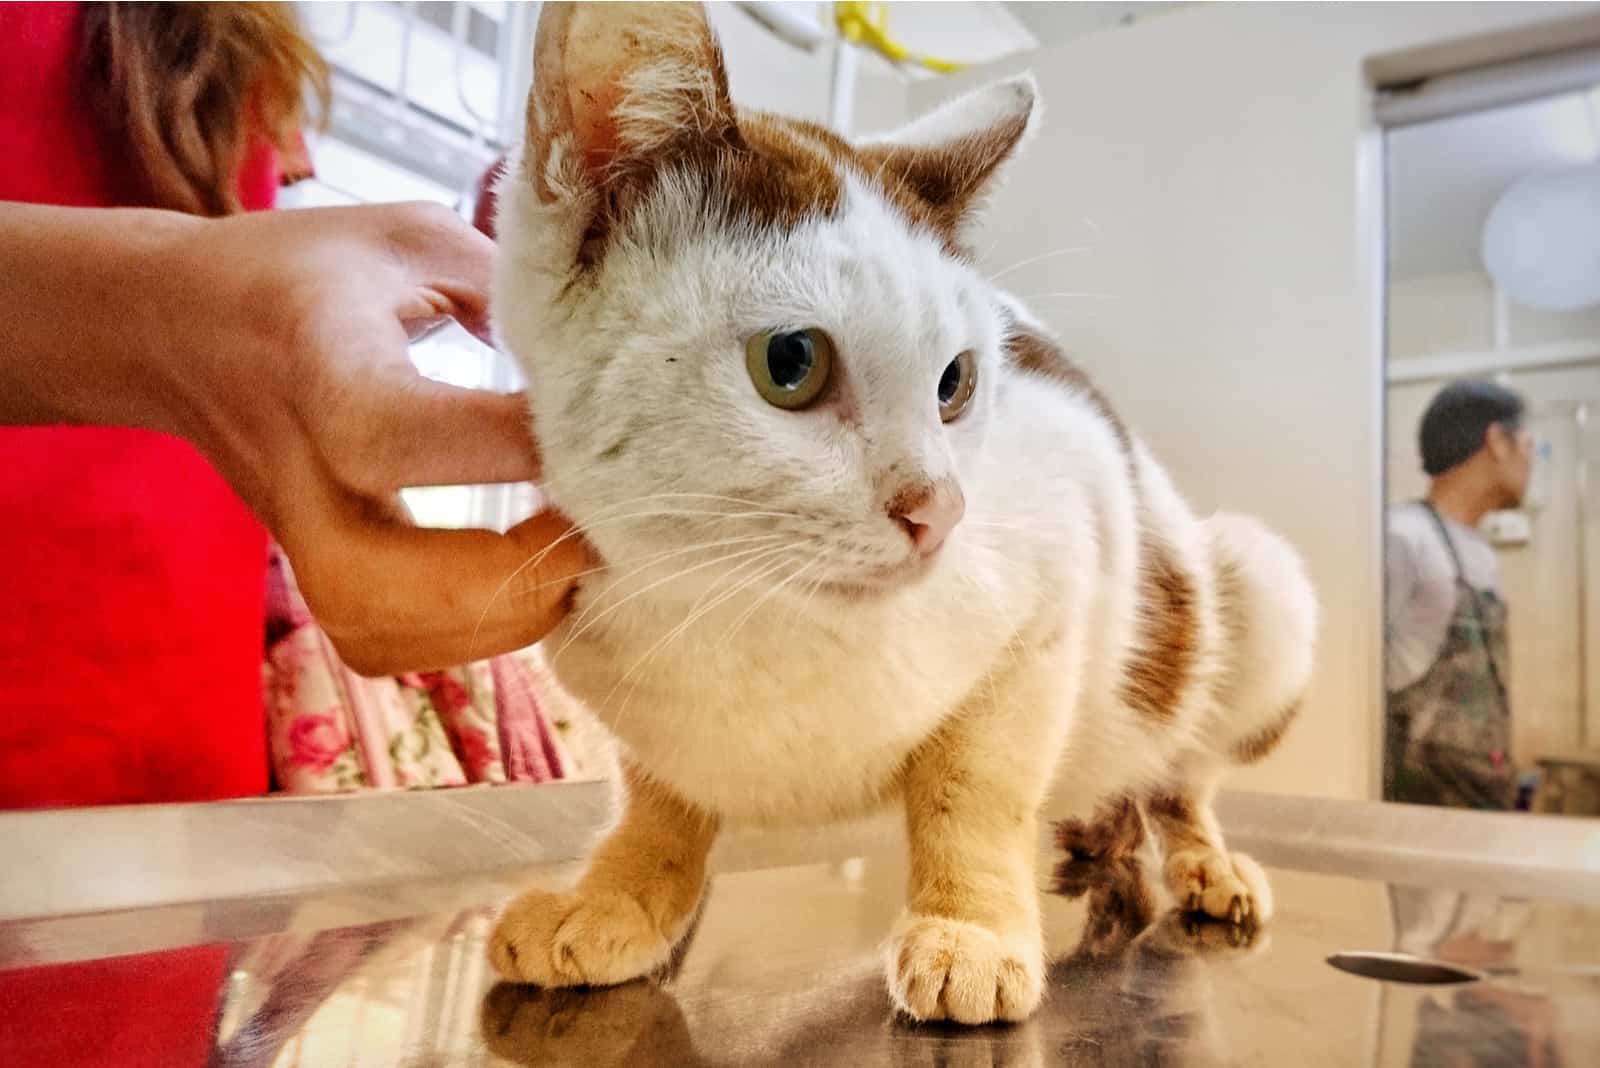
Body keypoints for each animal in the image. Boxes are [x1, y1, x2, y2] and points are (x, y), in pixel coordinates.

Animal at [486, 4, 1312, 1029]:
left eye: (955, 384)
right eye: (790, 362)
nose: (943, 507)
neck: (744, 608)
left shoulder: (1053, 589)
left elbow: (976, 788)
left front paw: (973, 928)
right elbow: (655, 799)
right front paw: (619, 897)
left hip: (1248, 581)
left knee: (1183, 769)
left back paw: (1203, 860)